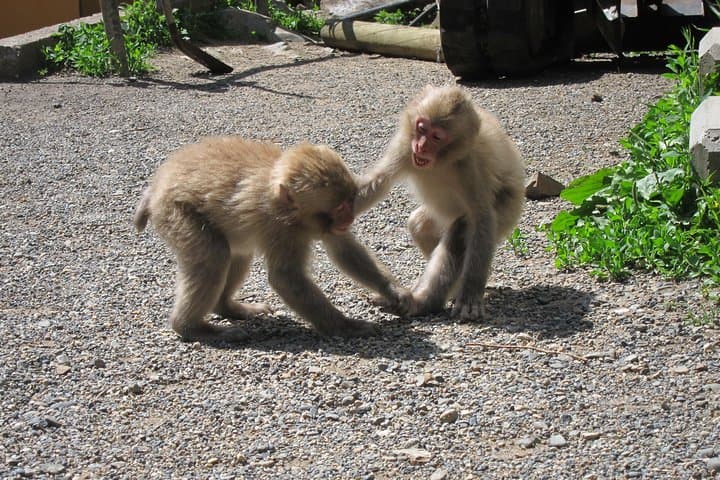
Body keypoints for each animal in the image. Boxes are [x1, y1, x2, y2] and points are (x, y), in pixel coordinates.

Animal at [134, 137, 411, 341]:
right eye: (339, 208)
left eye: (350, 201)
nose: (350, 218)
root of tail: (156, 187)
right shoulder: (279, 227)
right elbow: (285, 277)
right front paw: (347, 326)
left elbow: (344, 249)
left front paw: (393, 291)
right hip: (173, 212)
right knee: (214, 255)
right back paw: (191, 328)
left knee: (237, 254)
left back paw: (227, 308)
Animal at [355, 85, 525, 321]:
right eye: (421, 128)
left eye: (436, 137)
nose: (421, 146)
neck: (440, 160)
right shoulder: (404, 145)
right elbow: (378, 181)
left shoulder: (469, 165)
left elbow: (482, 216)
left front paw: (470, 295)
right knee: (419, 225)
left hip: (508, 209)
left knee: (462, 231)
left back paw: (424, 303)